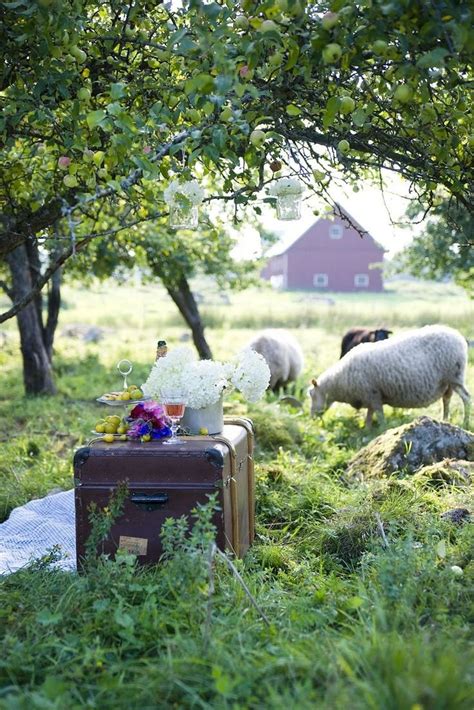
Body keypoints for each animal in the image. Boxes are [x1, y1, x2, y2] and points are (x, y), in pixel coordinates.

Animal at [310, 326, 468, 428]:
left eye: (312, 396)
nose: (311, 418)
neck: (339, 381)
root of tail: (458, 336)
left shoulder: (373, 394)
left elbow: (379, 415)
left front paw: (381, 429)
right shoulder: (371, 396)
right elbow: (370, 415)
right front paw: (367, 429)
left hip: (454, 376)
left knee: (466, 398)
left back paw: (466, 421)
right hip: (447, 383)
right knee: (446, 400)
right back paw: (445, 420)